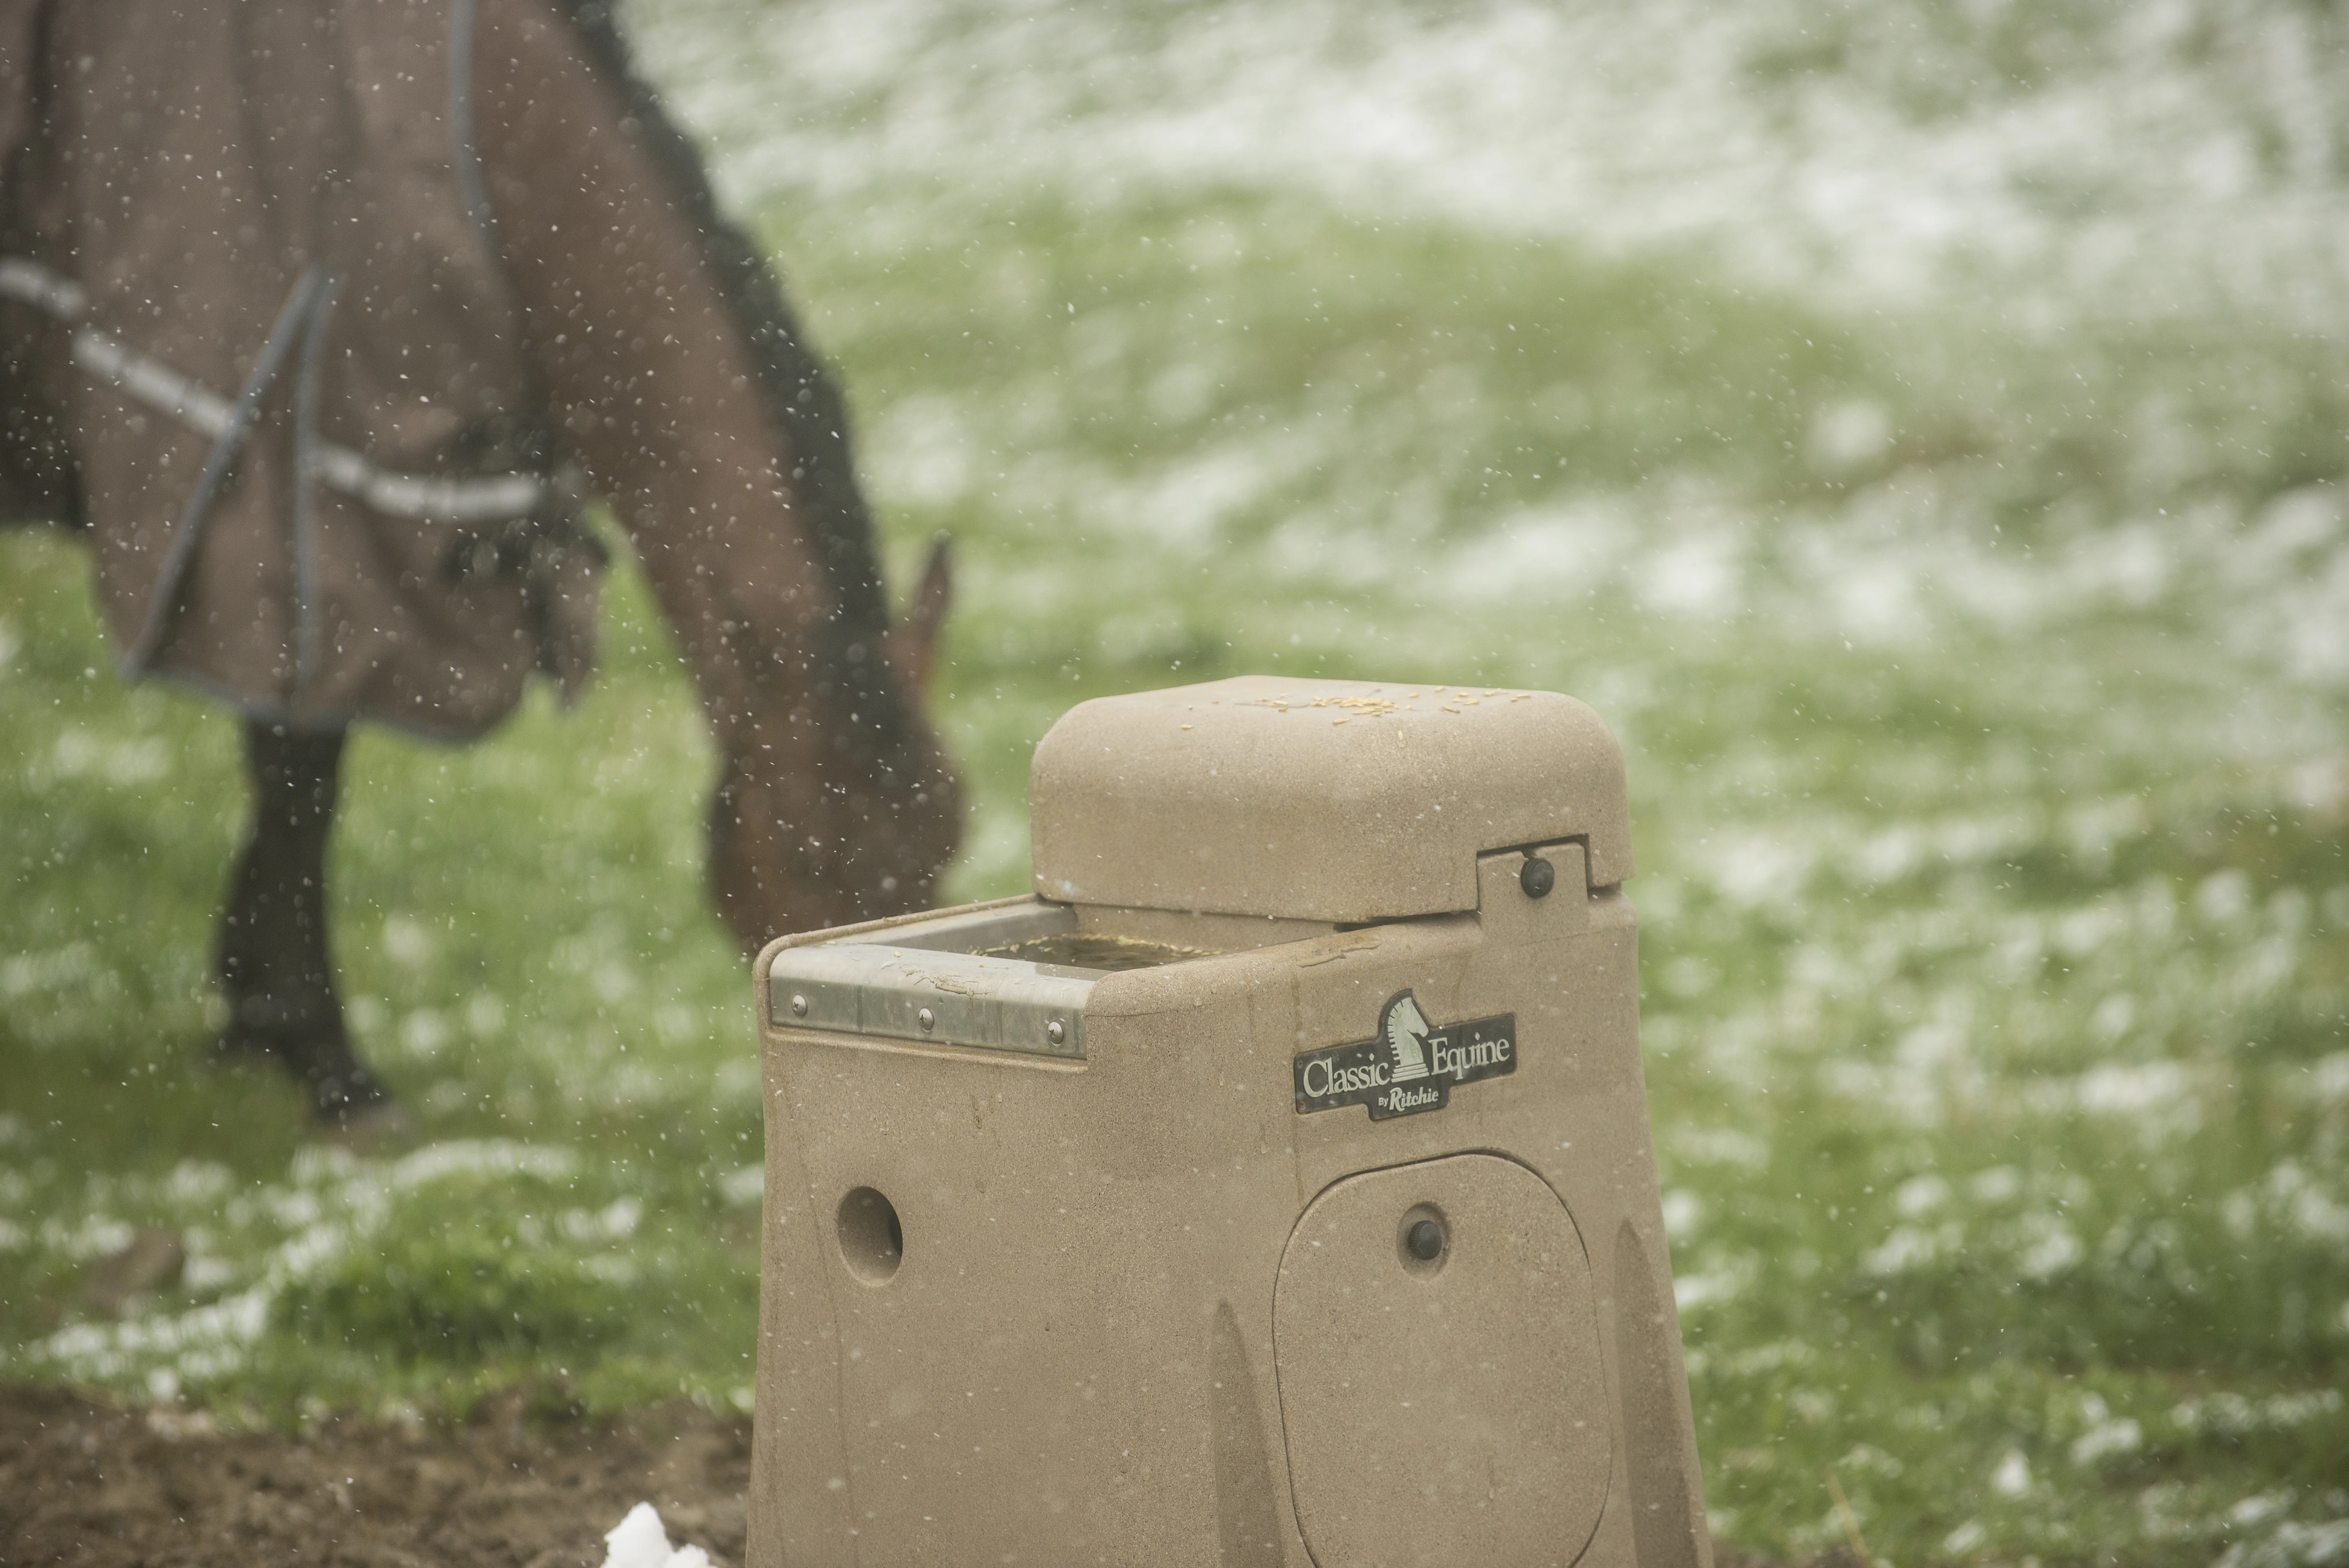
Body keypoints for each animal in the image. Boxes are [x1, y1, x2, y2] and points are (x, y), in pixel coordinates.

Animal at [0, 0, 963, 1131]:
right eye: (810, 852)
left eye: (947, 844)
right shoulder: (305, 491)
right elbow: (300, 765)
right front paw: (322, 1056)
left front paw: (254, 1015)